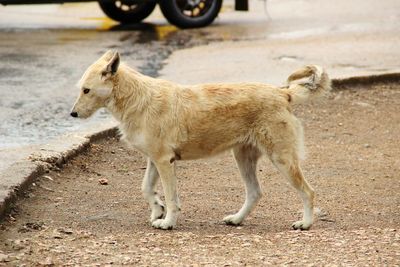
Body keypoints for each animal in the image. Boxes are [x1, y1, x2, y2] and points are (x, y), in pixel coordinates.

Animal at [70, 51, 330, 231]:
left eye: (86, 90)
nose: (72, 114)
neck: (138, 97)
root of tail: (282, 93)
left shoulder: (164, 162)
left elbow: (172, 198)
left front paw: (167, 222)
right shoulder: (154, 161)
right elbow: (146, 188)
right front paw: (157, 209)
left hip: (281, 159)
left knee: (308, 192)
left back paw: (305, 223)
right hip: (243, 158)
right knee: (255, 193)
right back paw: (237, 219)